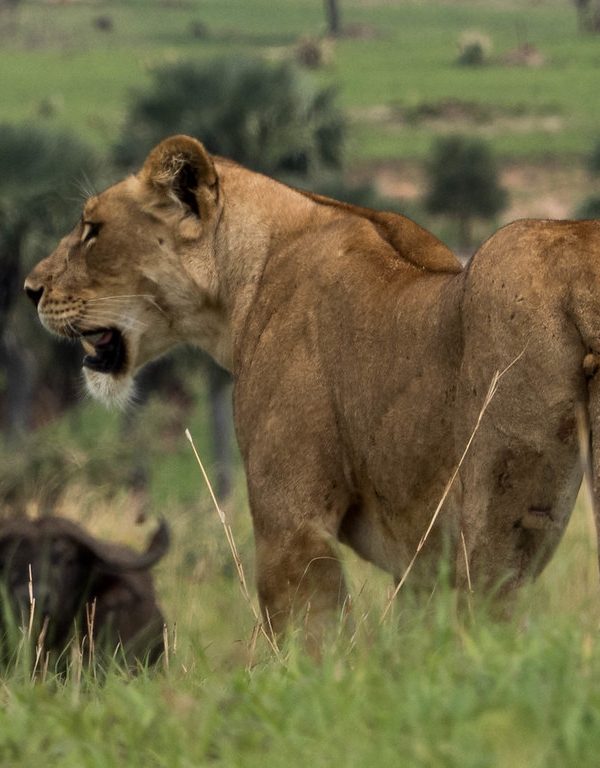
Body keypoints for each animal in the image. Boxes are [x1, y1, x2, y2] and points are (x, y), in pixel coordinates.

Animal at [24, 135, 600, 645]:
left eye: (92, 231)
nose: (30, 289)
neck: (245, 279)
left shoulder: (291, 520)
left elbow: (310, 637)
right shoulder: (420, 558)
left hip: (502, 503)